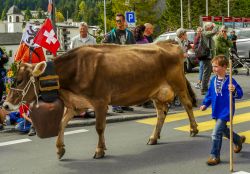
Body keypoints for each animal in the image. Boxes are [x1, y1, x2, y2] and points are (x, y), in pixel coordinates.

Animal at [2, 41, 198, 159]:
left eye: (19, 80)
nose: (5, 104)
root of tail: (168, 43)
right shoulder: (74, 104)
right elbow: (60, 125)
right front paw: (60, 149)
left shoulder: (100, 101)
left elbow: (99, 127)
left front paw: (99, 150)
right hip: (156, 92)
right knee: (161, 114)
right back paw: (153, 137)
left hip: (178, 84)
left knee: (188, 105)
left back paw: (193, 129)